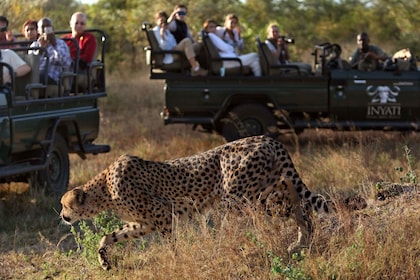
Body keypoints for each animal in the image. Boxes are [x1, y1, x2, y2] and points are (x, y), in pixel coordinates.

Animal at [60, 135, 328, 270]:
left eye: (65, 205)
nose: (62, 216)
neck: (104, 187)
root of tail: (267, 138)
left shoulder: (162, 213)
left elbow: (171, 243)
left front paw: (176, 260)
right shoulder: (145, 223)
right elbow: (110, 236)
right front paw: (104, 260)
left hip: (241, 199)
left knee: (298, 205)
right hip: (262, 192)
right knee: (299, 204)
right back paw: (302, 242)